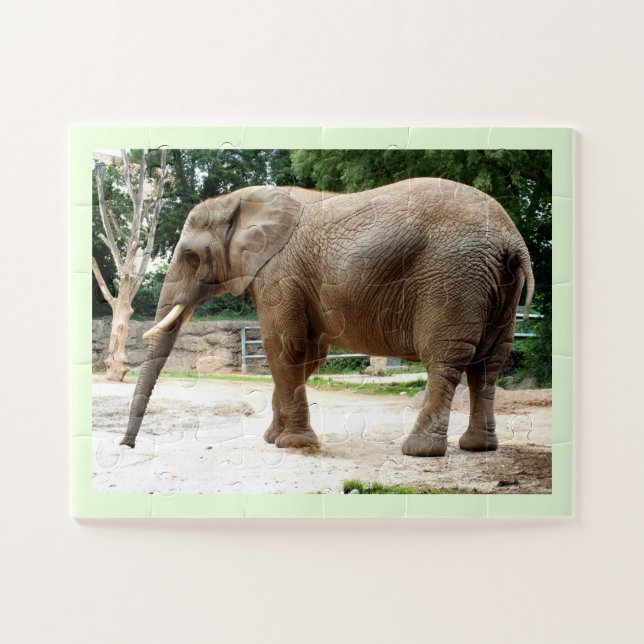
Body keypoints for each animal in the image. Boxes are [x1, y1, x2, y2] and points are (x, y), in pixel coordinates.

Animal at [122, 178, 534, 458]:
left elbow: (282, 346)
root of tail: (512, 239)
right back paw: (479, 447)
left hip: (452, 278)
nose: (127, 446)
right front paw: (274, 439)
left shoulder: (279, 273)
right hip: (497, 286)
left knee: (446, 360)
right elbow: (307, 355)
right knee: (489, 363)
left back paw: (419, 450)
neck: (240, 201)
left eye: (191, 257)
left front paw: (292, 444)